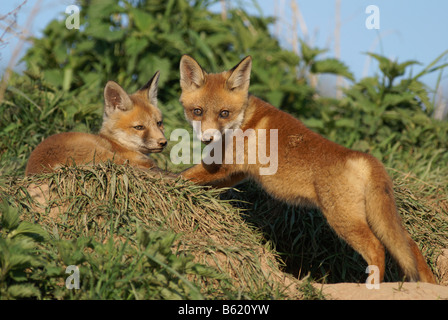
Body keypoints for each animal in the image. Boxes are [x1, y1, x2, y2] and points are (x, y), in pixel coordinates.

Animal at [179, 54, 438, 282]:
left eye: (224, 113)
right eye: (198, 111)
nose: (207, 138)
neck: (243, 119)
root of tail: (364, 157)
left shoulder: (222, 165)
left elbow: (183, 175)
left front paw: (170, 183)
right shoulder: (237, 171)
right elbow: (207, 186)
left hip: (343, 219)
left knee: (377, 248)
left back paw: (372, 286)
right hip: (377, 218)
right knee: (410, 246)